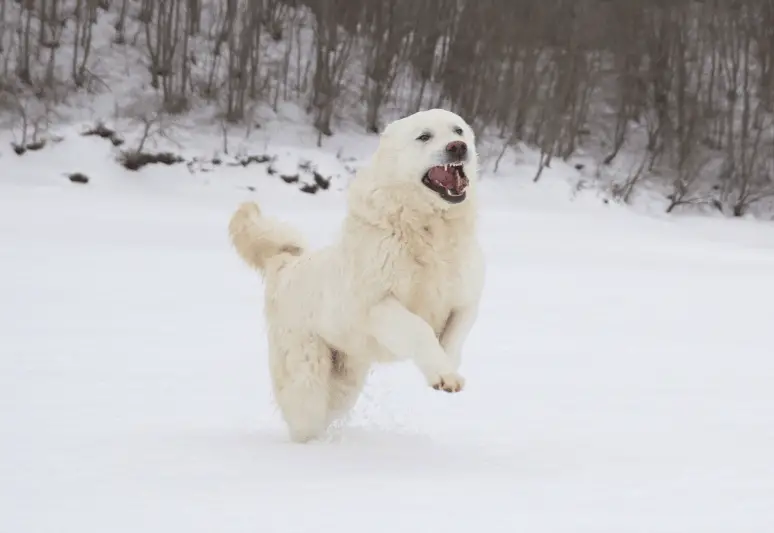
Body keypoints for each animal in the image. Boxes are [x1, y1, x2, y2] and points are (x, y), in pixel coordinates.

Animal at [227, 108, 488, 440]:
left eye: (458, 130)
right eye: (424, 136)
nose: (458, 147)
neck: (429, 231)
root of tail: (285, 263)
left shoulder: (466, 301)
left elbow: (454, 337)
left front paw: (447, 370)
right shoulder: (377, 304)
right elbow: (419, 329)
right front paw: (441, 372)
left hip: (345, 381)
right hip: (306, 379)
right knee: (305, 418)